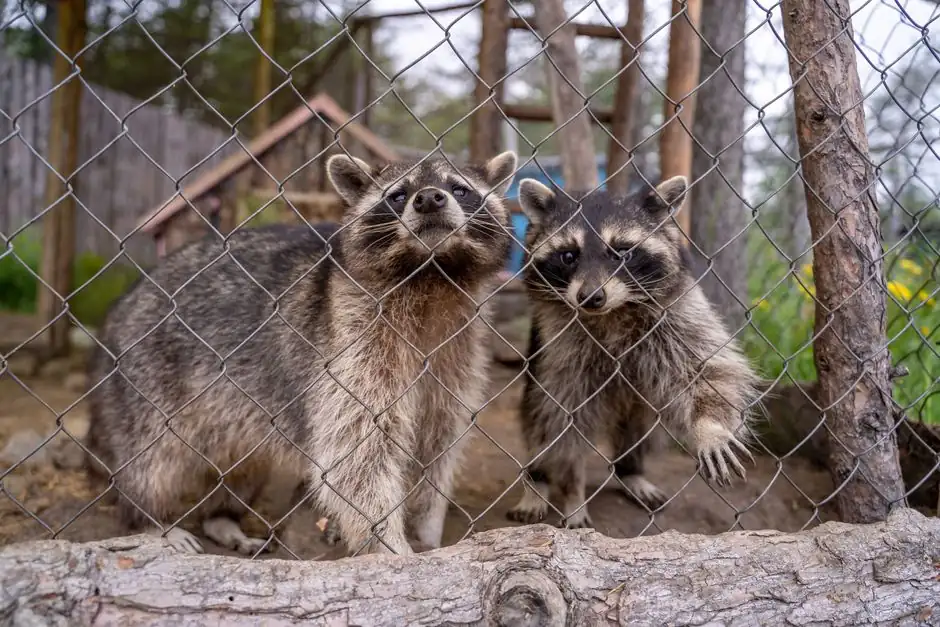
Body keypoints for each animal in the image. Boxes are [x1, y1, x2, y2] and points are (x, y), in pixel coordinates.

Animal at [85, 150, 518, 556]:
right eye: (398, 195)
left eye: (459, 188)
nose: (429, 198)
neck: (430, 276)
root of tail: (119, 310)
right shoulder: (350, 344)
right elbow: (356, 455)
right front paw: (390, 546)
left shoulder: (458, 348)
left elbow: (438, 442)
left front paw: (428, 526)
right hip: (145, 379)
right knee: (153, 461)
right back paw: (149, 517)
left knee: (241, 465)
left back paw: (221, 517)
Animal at [505, 177, 759, 528]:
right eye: (569, 256)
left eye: (622, 252)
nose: (590, 297)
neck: (612, 312)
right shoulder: (559, 346)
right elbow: (563, 419)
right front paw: (573, 493)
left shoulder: (677, 312)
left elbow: (708, 368)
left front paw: (711, 428)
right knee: (539, 422)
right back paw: (537, 481)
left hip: (640, 404)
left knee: (640, 429)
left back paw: (630, 470)